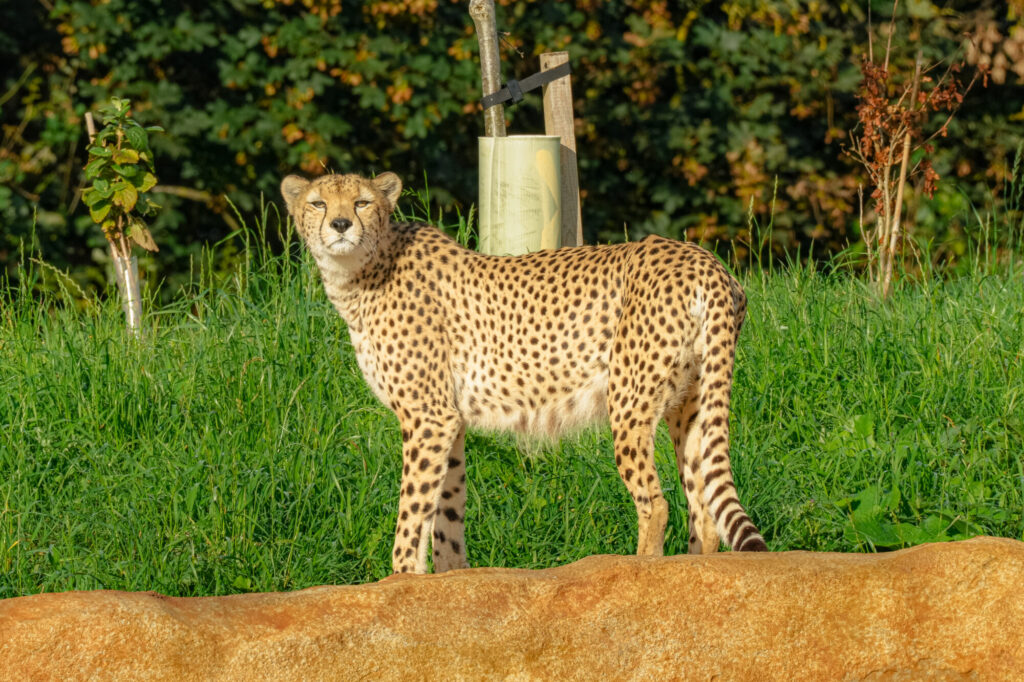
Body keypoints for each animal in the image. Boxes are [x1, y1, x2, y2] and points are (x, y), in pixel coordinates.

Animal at [281, 170, 767, 574]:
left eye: (362, 202)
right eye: (318, 203)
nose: (340, 225)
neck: (364, 270)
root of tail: (702, 257)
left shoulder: (428, 416)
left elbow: (411, 512)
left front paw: (401, 581)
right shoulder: (449, 422)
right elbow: (446, 512)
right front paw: (449, 581)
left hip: (630, 401)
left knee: (657, 502)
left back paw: (642, 572)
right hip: (691, 401)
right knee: (704, 509)